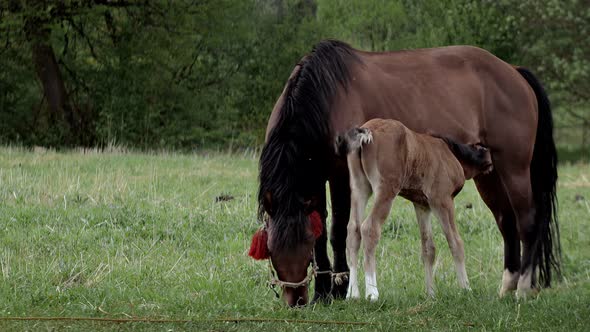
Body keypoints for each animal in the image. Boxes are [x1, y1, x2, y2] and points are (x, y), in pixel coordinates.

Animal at [338, 118, 494, 300]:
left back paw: (352, 294)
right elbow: (456, 242)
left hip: (359, 187)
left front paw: (431, 294)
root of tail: (366, 130)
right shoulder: (442, 200)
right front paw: (465, 289)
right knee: (369, 228)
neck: (451, 153)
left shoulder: (422, 205)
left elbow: (428, 248)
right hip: (386, 189)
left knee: (353, 230)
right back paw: (372, 293)